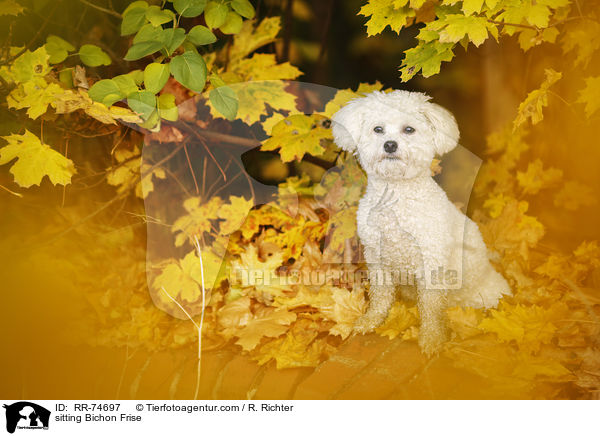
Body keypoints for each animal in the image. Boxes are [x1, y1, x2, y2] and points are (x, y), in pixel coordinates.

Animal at [330, 89, 508, 354]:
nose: (390, 144)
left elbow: (431, 306)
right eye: (378, 129)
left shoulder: (431, 262)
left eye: (409, 129)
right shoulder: (377, 259)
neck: (395, 196)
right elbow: (380, 295)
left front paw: (432, 338)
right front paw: (371, 320)